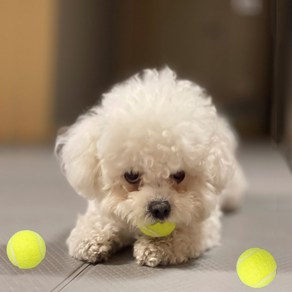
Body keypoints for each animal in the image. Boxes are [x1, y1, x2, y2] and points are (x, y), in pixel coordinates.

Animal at [55, 66, 246, 266]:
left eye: (179, 174)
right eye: (131, 175)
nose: (160, 208)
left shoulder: (203, 223)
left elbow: (183, 232)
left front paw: (155, 246)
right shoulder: (100, 206)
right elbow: (97, 220)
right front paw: (92, 239)